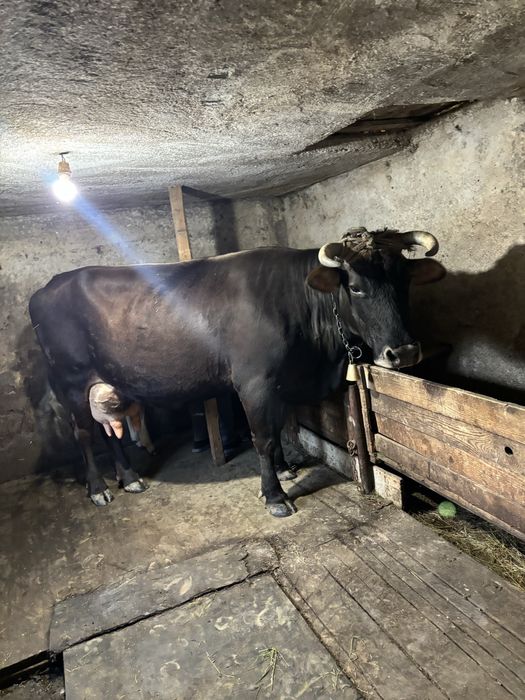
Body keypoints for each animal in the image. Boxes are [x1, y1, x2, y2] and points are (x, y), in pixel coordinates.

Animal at [29, 228, 445, 516]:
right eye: (355, 287)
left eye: (405, 281)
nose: (404, 351)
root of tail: (47, 286)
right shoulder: (255, 382)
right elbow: (263, 437)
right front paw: (275, 495)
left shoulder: (278, 382)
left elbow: (277, 428)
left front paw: (285, 470)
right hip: (70, 381)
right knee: (84, 434)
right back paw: (99, 488)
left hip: (107, 381)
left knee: (106, 431)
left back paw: (129, 478)